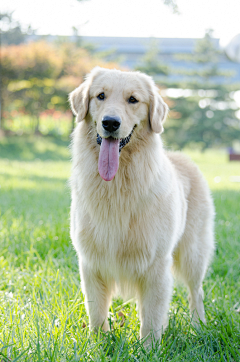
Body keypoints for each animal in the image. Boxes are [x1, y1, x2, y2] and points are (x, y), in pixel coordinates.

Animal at [68, 67, 215, 346]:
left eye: (133, 100)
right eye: (100, 96)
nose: (110, 123)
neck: (116, 186)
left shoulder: (155, 264)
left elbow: (152, 317)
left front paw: (149, 348)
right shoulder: (91, 263)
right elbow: (97, 313)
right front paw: (98, 345)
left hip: (193, 252)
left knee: (196, 291)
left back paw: (198, 326)